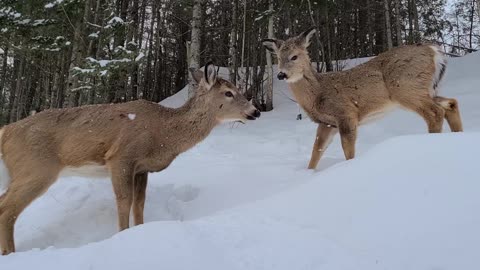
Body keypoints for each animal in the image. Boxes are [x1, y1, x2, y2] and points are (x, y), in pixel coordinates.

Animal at [0, 63, 258, 255]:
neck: (163, 135)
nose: (255, 111)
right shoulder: (121, 157)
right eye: (228, 92)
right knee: (7, 209)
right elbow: (124, 201)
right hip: (36, 169)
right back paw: (11, 253)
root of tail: (6, 131)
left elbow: (139, 203)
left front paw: (139, 231)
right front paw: (120, 236)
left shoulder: (142, 168)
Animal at [264, 28, 464, 170]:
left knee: (435, 112)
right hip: (427, 89)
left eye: (294, 56)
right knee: (451, 103)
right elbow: (316, 152)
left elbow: (348, 151)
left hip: (407, 88)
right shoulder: (327, 123)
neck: (317, 93)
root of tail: (434, 51)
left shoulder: (346, 113)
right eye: (278, 58)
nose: (281, 74)